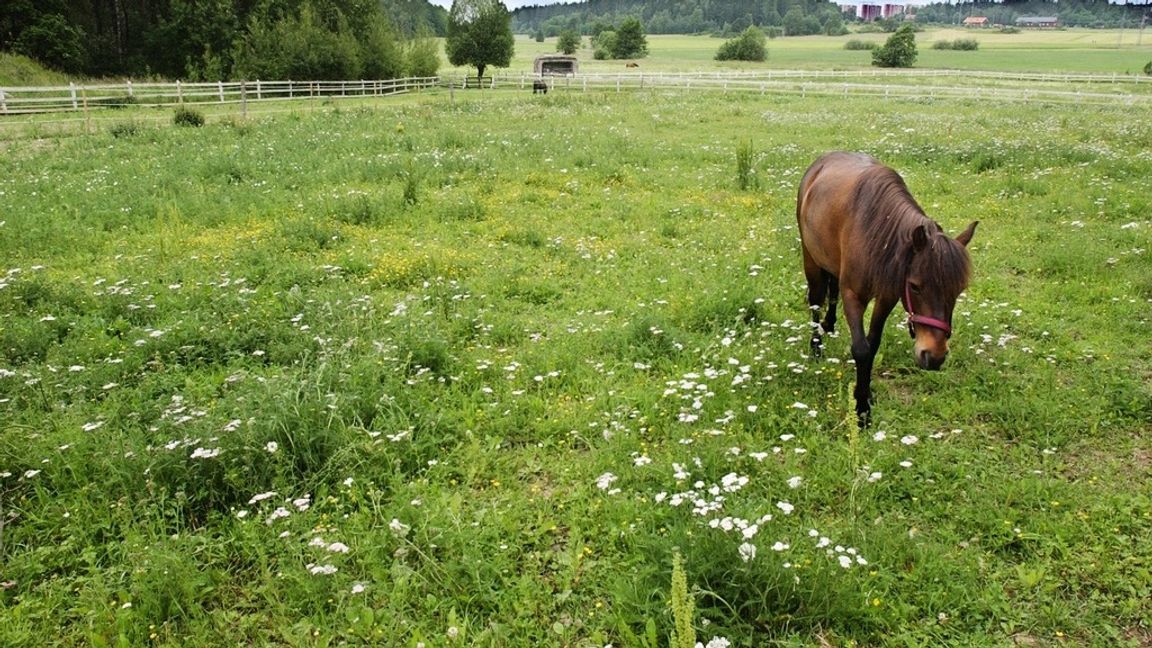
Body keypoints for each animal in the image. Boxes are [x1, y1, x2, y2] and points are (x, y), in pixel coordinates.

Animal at [797, 151, 976, 424]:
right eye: (915, 286)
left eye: (958, 290)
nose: (934, 356)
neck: (877, 237)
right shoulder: (853, 296)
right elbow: (861, 349)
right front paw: (862, 410)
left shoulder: (887, 296)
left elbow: (873, 344)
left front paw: (867, 395)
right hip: (811, 258)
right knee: (816, 300)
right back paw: (816, 347)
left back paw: (829, 325)